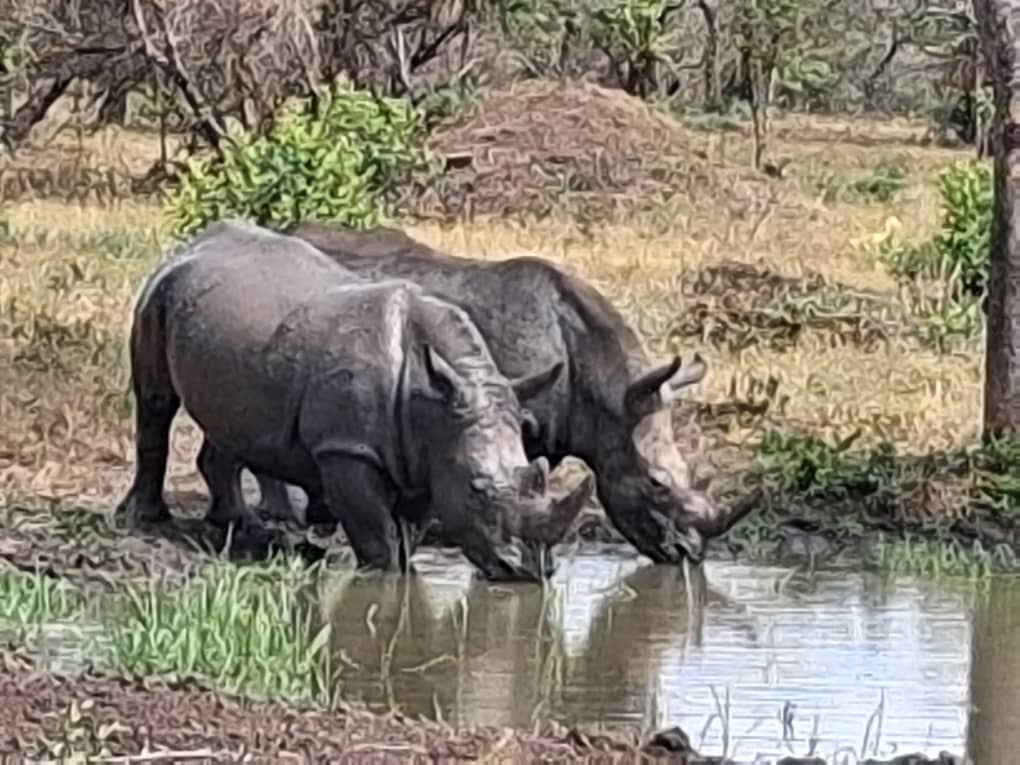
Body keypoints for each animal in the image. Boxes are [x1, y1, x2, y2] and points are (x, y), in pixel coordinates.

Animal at [114, 220, 593, 581]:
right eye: (478, 491)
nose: (529, 572)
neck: (436, 403)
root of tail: (195, 243)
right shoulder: (346, 448)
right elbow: (375, 530)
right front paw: (382, 576)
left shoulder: (428, 454)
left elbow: (409, 529)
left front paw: (406, 572)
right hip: (157, 293)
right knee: (156, 402)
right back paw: (146, 519)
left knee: (228, 417)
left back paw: (235, 525)